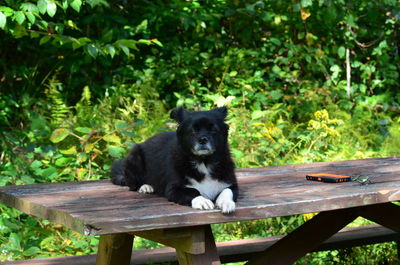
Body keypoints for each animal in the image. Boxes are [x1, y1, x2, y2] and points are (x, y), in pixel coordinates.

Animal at [110, 106, 238, 211]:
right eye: (193, 130)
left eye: (213, 130)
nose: (202, 139)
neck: (203, 162)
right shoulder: (174, 189)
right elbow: (193, 191)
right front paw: (202, 201)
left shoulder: (231, 184)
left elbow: (227, 190)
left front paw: (226, 203)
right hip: (135, 157)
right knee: (132, 184)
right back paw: (146, 187)